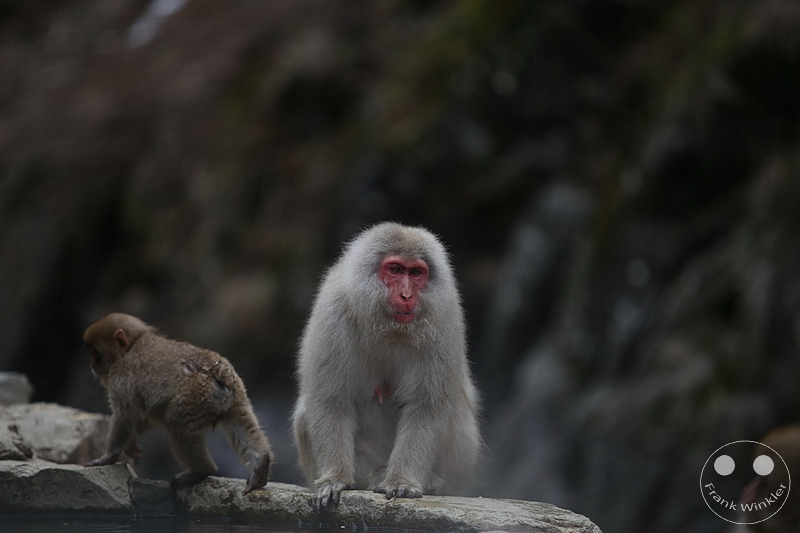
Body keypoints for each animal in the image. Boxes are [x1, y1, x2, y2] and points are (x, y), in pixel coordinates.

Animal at [83, 313, 273, 494]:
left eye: (95, 352)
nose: (91, 364)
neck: (131, 346)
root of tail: (217, 371)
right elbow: (144, 415)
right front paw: (132, 441)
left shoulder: (120, 379)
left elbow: (126, 414)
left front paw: (109, 457)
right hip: (236, 398)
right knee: (242, 425)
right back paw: (260, 466)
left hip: (196, 396)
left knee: (177, 424)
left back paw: (201, 470)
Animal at [292, 222, 480, 513]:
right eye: (395, 270)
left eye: (416, 273)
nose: (407, 295)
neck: (389, 328)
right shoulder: (333, 313)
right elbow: (330, 400)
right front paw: (335, 478)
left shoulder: (444, 319)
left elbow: (425, 407)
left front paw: (401, 481)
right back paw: (375, 475)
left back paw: (430, 482)